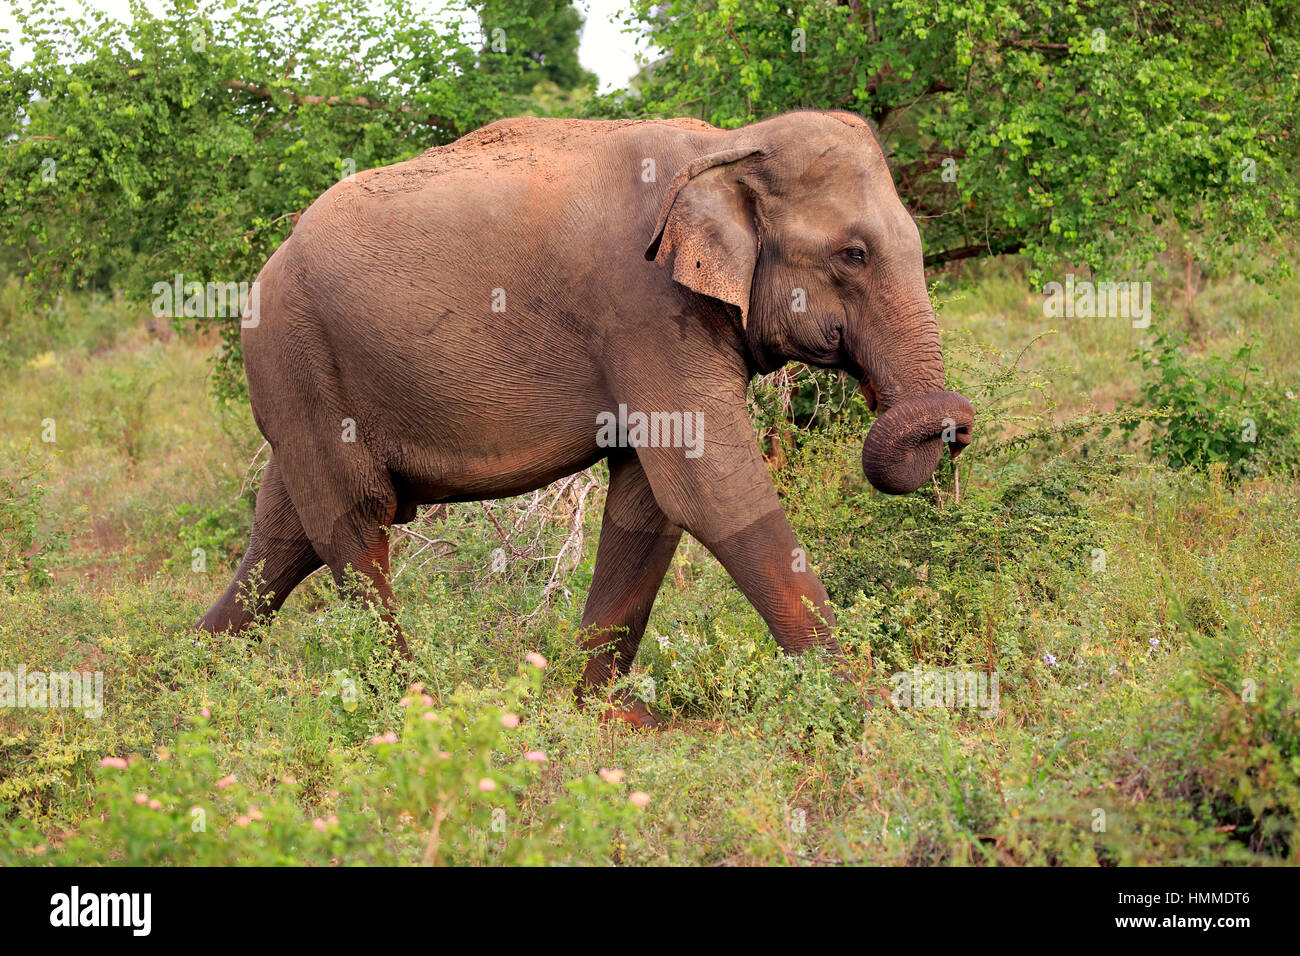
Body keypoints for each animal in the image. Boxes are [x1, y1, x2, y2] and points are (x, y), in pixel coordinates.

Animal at [200, 108, 977, 723]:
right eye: (853, 254)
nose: (956, 429)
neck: (729, 144)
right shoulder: (643, 306)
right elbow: (712, 493)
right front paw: (868, 717)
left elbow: (649, 502)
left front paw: (609, 721)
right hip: (295, 356)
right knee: (355, 519)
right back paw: (412, 711)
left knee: (286, 533)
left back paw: (192, 684)